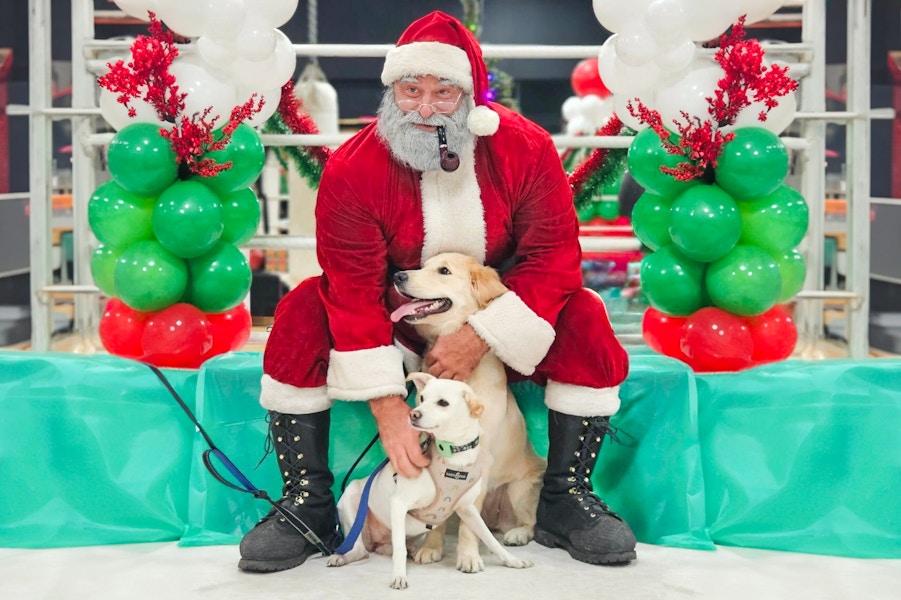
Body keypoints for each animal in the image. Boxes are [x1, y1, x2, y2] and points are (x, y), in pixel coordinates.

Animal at [326, 376, 532, 592]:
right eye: (422, 398)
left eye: (443, 403)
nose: (413, 414)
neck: (453, 456)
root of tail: (375, 541)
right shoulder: (399, 504)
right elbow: (399, 550)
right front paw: (399, 576)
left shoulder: (468, 509)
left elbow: (490, 538)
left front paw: (512, 560)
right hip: (351, 498)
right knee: (361, 549)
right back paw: (341, 557)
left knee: (387, 547)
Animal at [390, 252, 544, 572]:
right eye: (423, 266)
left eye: (444, 271)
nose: (398, 276)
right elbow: (437, 512)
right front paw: (432, 548)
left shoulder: (478, 465)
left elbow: (467, 527)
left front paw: (469, 557)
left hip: (519, 490)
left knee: (528, 522)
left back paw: (516, 534)